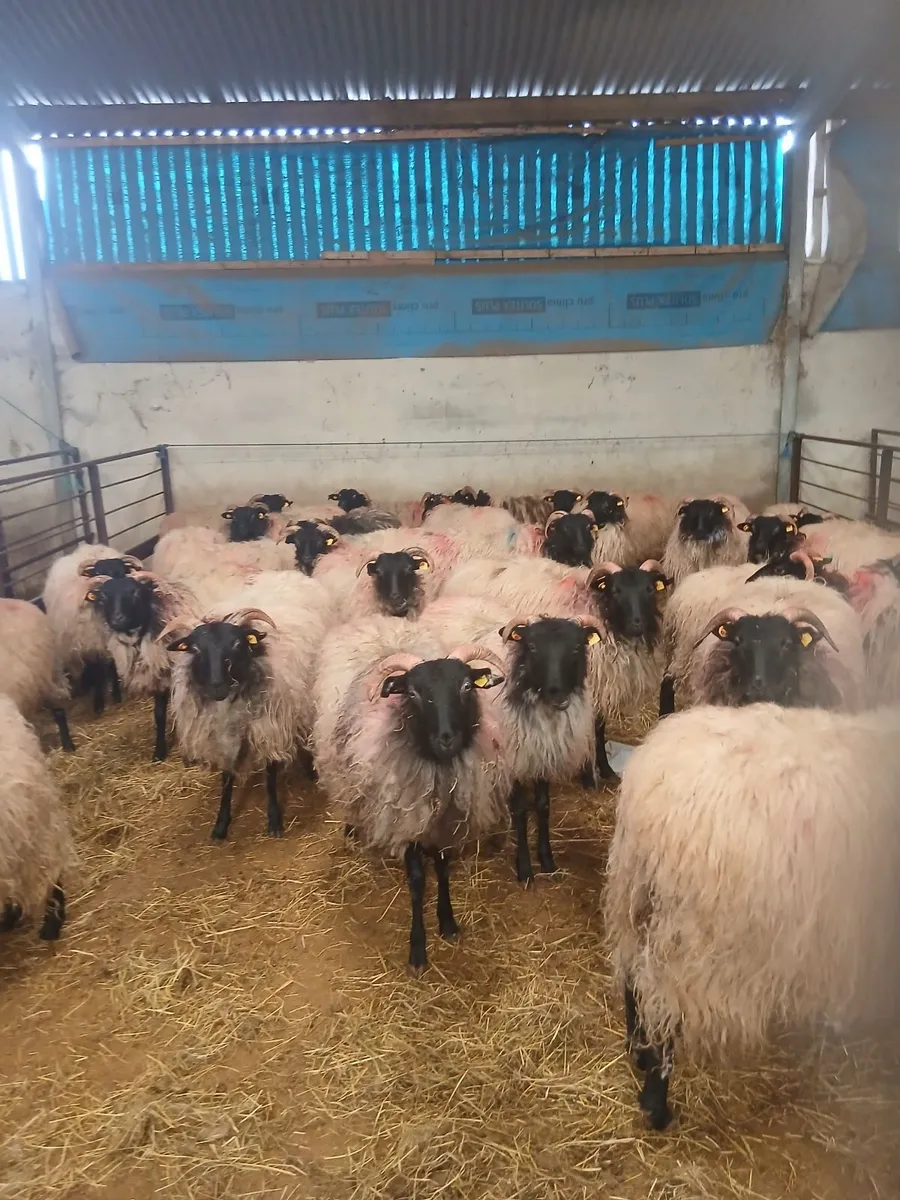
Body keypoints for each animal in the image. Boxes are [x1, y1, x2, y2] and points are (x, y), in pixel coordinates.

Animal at [81, 570, 199, 761]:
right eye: (104, 596)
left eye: (135, 592)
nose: (117, 619)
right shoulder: (160, 678)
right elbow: (159, 715)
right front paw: (159, 752)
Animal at [165, 571, 331, 840]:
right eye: (196, 649)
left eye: (236, 644)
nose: (218, 686)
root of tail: (287, 573)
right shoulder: (220, 737)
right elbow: (226, 777)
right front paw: (221, 823)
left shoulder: (269, 727)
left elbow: (270, 776)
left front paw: (274, 820)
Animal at [313, 616, 509, 970]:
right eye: (414, 693)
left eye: (466, 686)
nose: (446, 738)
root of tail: (374, 620)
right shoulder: (404, 819)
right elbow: (417, 881)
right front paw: (418, 948)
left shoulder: (446, 820)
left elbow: (443, 867)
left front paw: (447, 921)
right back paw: (352, 828)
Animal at [420, 597, 602, 883]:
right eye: (533, 647)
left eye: (576, 647)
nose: (557, 694)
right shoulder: (512, 758)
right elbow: (520, 811)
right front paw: (525, 868)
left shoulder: (541, 754)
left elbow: (543, 805)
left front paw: (547, 859)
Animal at [605, 702, 900, 1130]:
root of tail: (646, 785)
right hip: (690, 937)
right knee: (663, 1007)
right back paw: (657, 1105)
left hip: (633, 895)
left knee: (631, 976)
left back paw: (638, 1050)